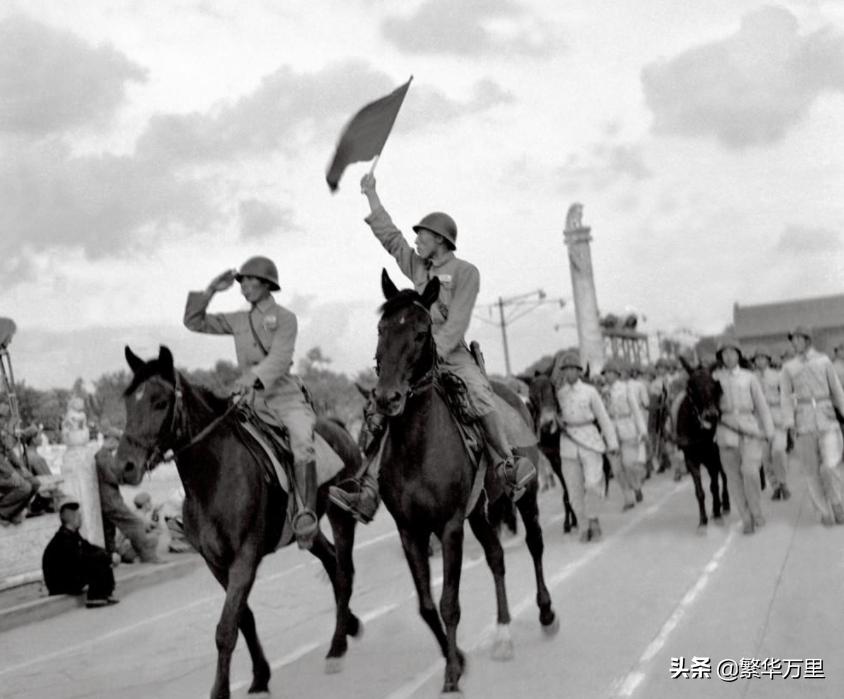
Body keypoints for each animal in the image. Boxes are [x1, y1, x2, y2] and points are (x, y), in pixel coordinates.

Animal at [113, 348, 362, 699]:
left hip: (342, 517)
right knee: (332, 563)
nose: (124, 466)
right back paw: (349, 624)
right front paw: (260, 677)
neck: (212, 476)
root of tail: (339, 426)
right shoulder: (216, 563)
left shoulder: (244, 559)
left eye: (159, 402)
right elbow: (244, 619)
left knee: (343, 572)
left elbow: (226, 628)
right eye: (128, 402)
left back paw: (337, 646)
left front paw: (221, 691)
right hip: (310, 531)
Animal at [372, 270, 556, 696]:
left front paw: (452, 674)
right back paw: (503, 633)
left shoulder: (449, 526)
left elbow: (448, 603)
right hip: (480, 512)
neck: (416, 448)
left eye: (421, 332)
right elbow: (426, 606)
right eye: (381, 329)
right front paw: (457, 658)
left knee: (535, 543)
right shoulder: (411, 531)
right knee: (496, 558)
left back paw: (545, 611)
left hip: (525, 496)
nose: (387, 398)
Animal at [676, 360, 728, 532]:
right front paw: (703, 521)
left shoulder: (713, 456)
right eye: (692, 388)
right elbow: (699, 492)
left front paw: (717, 513)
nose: (711, 415)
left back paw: (725, 504)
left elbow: (714, 485)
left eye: (713, 386)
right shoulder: (691, 460)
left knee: (724, 476)